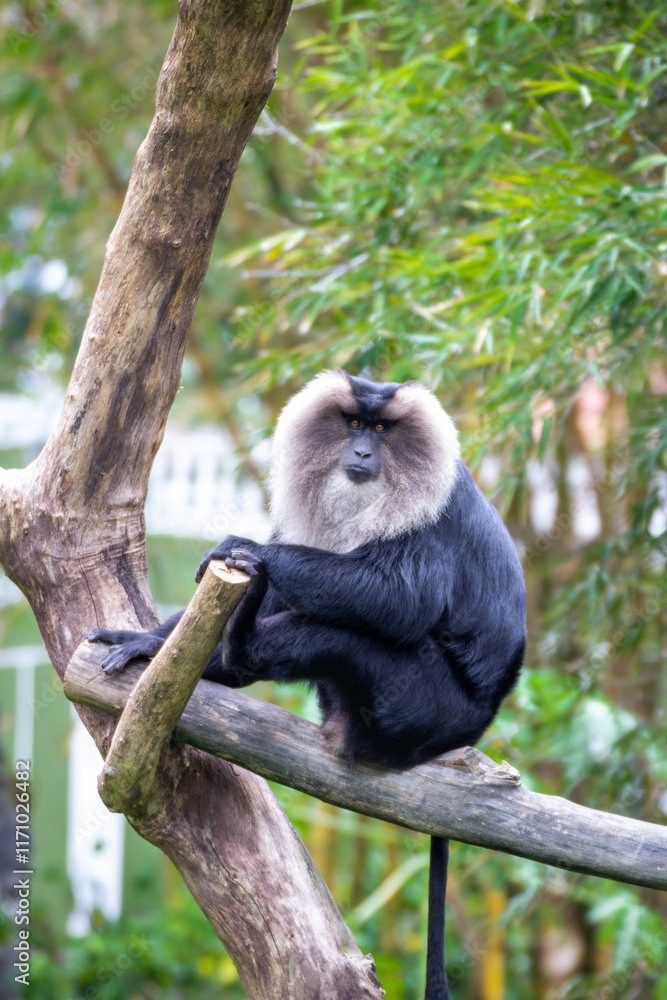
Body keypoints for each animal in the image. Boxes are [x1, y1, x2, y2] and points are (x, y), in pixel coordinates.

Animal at [87, 370, 526, 1000]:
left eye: (381, 430)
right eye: (353, 424)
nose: (362, 452)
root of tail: (463, 735)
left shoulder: (433, 521)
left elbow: (402, 598)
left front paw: (250, 550)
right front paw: (146, 639)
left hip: (418, 706)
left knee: (349, 629)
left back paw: (244, 643)